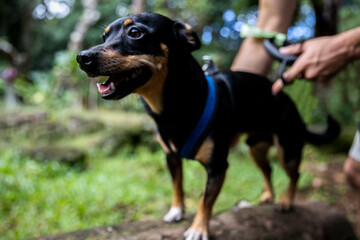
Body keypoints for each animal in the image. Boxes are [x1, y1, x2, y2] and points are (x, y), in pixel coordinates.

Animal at [76, 12, 340, 240]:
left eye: (135, 32)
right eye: (104, 37)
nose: (82, 58)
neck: (173, 108)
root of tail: (283, 95)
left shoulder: (217, 167)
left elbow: (205, 200)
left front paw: (198, 229)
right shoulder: (171, 157)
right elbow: (178, 185)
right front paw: (177, 210)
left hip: (288, 147)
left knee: (294, 173)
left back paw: (286, 202)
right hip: (256, 147)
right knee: (268, 169)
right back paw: (267, 196)